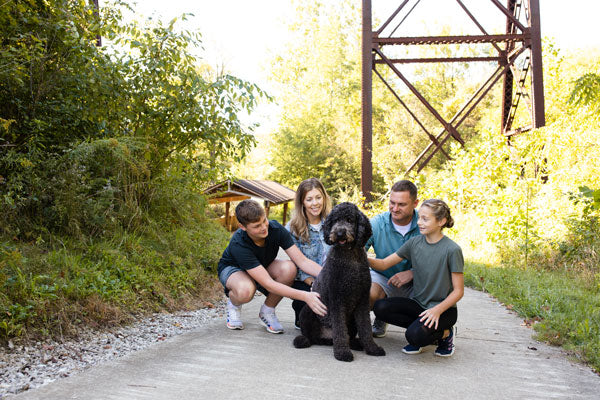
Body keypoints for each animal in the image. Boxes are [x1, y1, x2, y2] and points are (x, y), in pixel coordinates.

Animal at [294, 202, 386, 360]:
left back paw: (356, 343)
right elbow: (340, 329)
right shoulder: (337, 300)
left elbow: (365, 327)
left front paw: (372, 348)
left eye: (349, 220)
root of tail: (326, 338)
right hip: (308, 310)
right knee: (311, 337)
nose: (339, 233)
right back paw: (303, 340)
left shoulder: (362, 301)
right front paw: (342, 352)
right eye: (335, 220)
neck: (350, 257)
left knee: (348, 335)